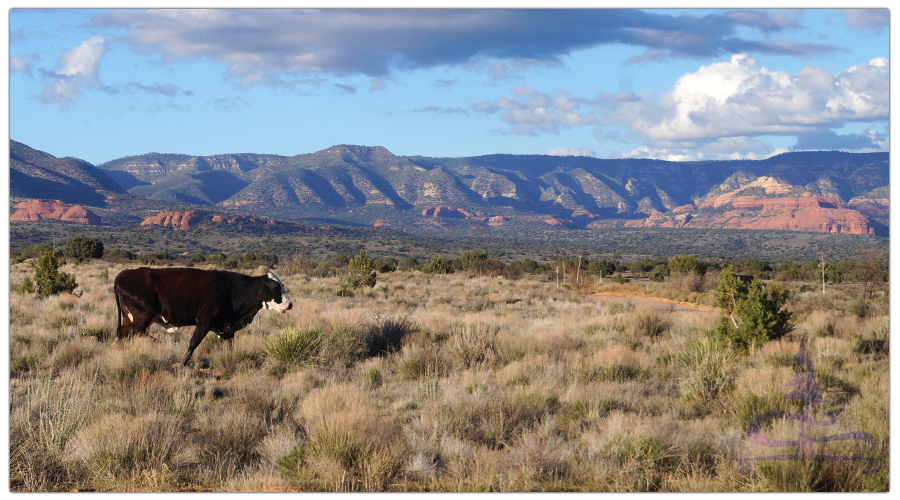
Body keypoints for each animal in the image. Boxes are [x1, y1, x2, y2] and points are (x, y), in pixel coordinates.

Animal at [113, 268, 292, 366]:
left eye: (282, 285)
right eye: (275, 286)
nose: (289, 304)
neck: (232, 289)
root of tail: (125, 273)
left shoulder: (227, 327)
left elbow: (230, 346)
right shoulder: (204, 321)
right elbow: (193, 343)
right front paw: (182, 363)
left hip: (129, 318)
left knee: (123, 336)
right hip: (143, 317)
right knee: (138, 333)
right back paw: (159, 344)